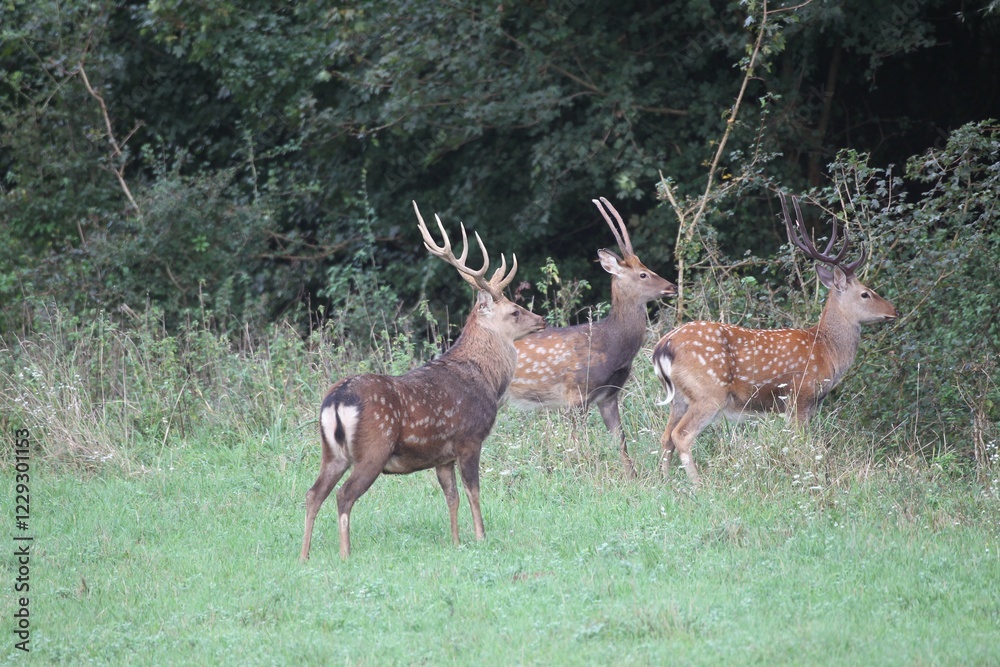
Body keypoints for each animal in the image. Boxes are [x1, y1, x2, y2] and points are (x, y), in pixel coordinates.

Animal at [300, 202, 546, 561]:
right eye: (514, 311)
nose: (541, 319)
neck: (486, 379)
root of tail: (336, 401)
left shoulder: (441, 456)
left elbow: (451, 497)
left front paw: (456, 542)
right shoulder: (469, 438)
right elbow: (473, 492)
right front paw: (481, 537)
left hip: (331, 451)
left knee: (313, 493)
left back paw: (304, 556)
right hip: (373, 448)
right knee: (344, 495)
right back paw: (345, 554)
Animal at [506, 197, 677, 478]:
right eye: (643, 274)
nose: (672, 286)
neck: (610, 346)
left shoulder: (609, 395)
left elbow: (621, 440)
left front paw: (632, 476)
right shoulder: (575, 393)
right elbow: (577, 442)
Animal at [652, 192, 898, 484]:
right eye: (865, 294)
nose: (894, 311)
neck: (827, 350)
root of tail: (662, 347)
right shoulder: (800, 395)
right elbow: (801, 444)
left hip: (678, 397)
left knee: (665, 437)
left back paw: (665, 482)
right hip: (708, 392)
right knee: (681, 435)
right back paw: (698, 485)